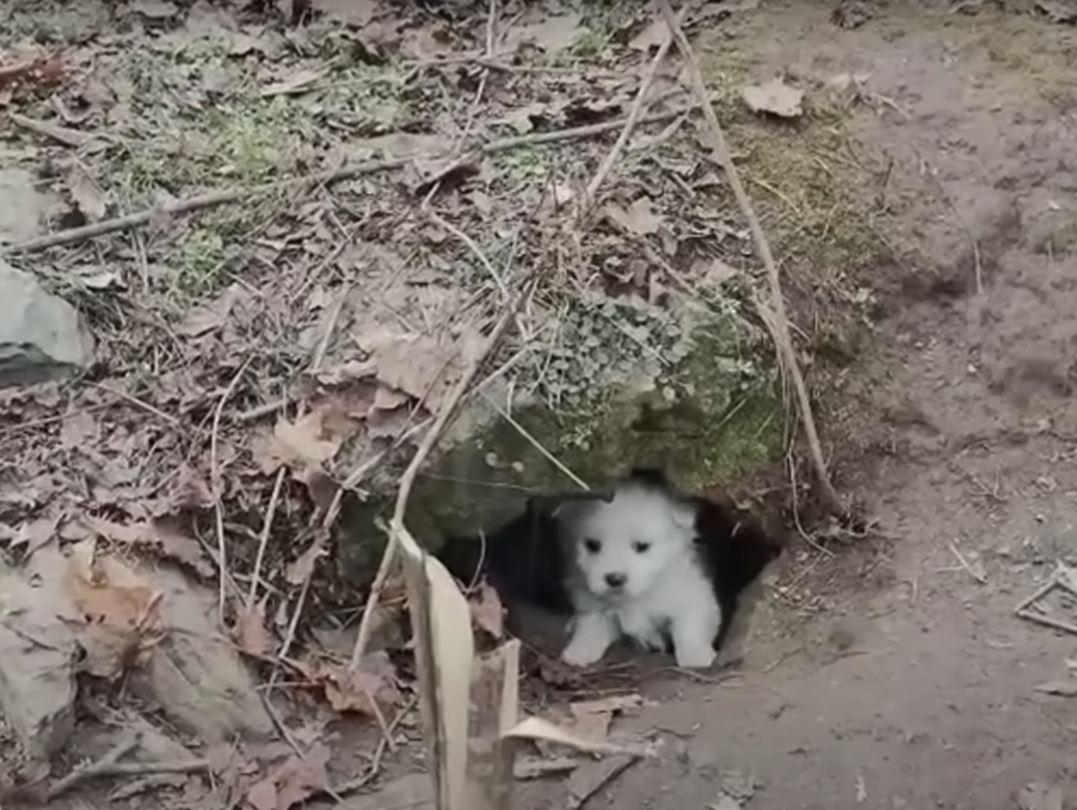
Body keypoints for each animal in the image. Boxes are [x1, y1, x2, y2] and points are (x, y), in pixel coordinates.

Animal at [560, 480, 719, 672]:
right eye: (592, 545)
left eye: (642, 546)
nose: (615, 579)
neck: (638, 596)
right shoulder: (594, 607)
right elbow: (591, 629)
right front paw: (580, 651)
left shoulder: (694, 598)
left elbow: (690, 629)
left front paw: (696, 658)